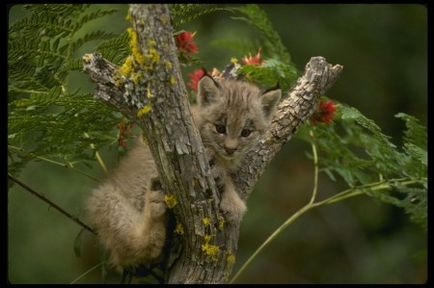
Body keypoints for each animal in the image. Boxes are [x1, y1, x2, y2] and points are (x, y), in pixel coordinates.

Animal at [85, 73, 282, 268]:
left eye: (246, 132)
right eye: (220, 128)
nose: (230, 149)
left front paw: (230, 197)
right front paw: (232, 198)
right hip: (103, 196)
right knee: (131, 251)